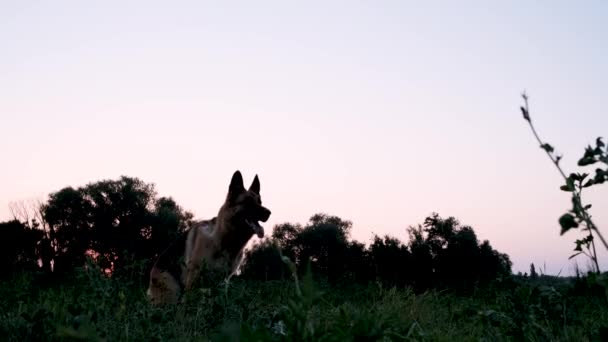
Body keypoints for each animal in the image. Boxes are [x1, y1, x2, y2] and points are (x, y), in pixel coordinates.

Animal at [147, 171, 270, 304]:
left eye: (260, 202)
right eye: (248, 202)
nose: (269, 213)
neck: (224, 240)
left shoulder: (221, 284)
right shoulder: (193, 280)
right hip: (172, 292)